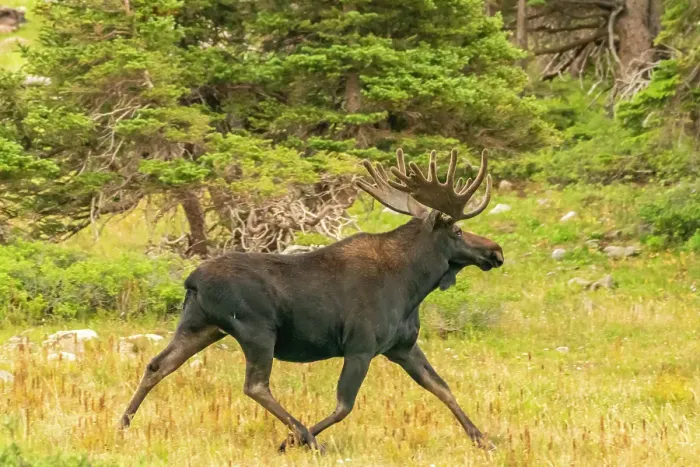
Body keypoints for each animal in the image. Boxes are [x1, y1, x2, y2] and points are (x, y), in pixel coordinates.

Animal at [120, 148, 504, 452]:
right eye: (458, 231)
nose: (495, 251)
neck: (413, 286)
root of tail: (193, 281)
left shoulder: (403, 346)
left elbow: (442, 387)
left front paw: (483, 439)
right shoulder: (361, 346)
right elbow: (344, 405)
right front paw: (295, 440)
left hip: (201, 326)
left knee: (158, 365)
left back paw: (123, 422)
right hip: (257, 331)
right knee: (255, 385)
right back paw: (305, 437)